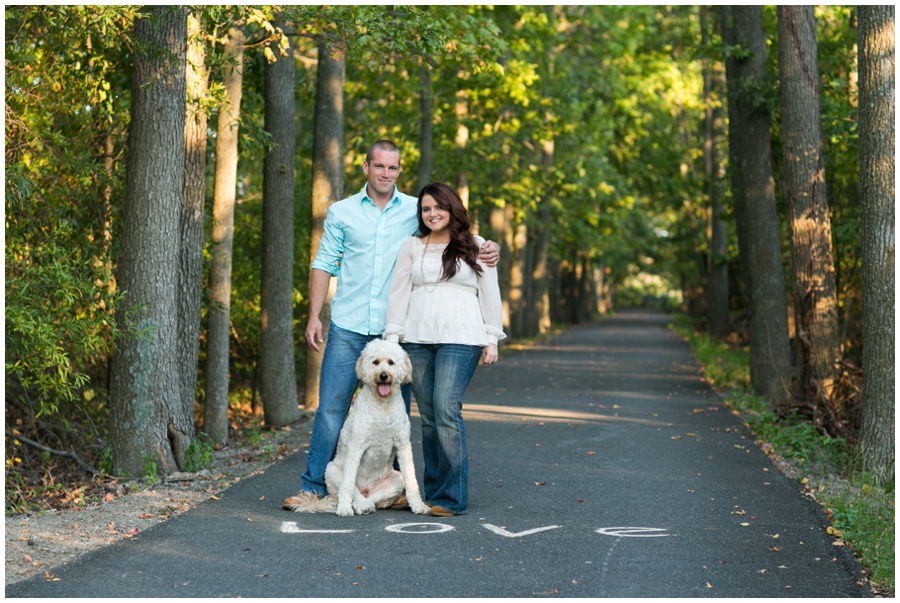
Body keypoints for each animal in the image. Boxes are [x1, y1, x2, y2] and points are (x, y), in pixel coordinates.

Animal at [288, 342, 428, 516]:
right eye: (375, 362)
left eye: (391, 362)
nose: (383, 375)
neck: (383, 406)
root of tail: (366, 489)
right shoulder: (356, 446)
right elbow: (347, 484)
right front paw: (344, 508)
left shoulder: (403, 446)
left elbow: (412, 480)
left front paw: (417, 505)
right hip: (332, 470)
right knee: (350, 490)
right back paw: (358, 505)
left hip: (396, 479)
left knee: (375, 498)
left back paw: (371, 504)